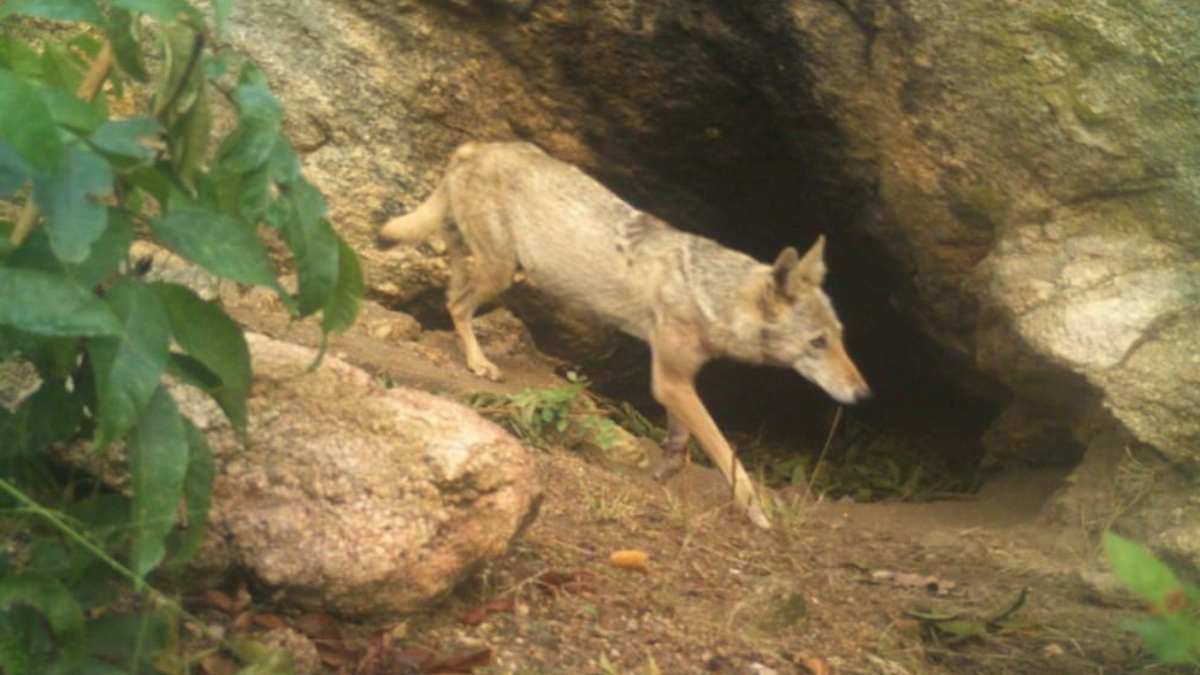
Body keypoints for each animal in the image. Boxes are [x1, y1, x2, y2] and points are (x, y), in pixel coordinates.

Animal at [379, 141, 871, 528]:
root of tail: (476, 147)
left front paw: (666, 470)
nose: (864, 394)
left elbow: (680, 436)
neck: (708, 295)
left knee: (450, 294)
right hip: (499, 273)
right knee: (456, 306)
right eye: (817, 343)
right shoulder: (671, 381)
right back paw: (479, 362)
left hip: (479, 261)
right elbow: (727, 453)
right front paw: (758, 513)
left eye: (841, 338)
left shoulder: (676, 379)